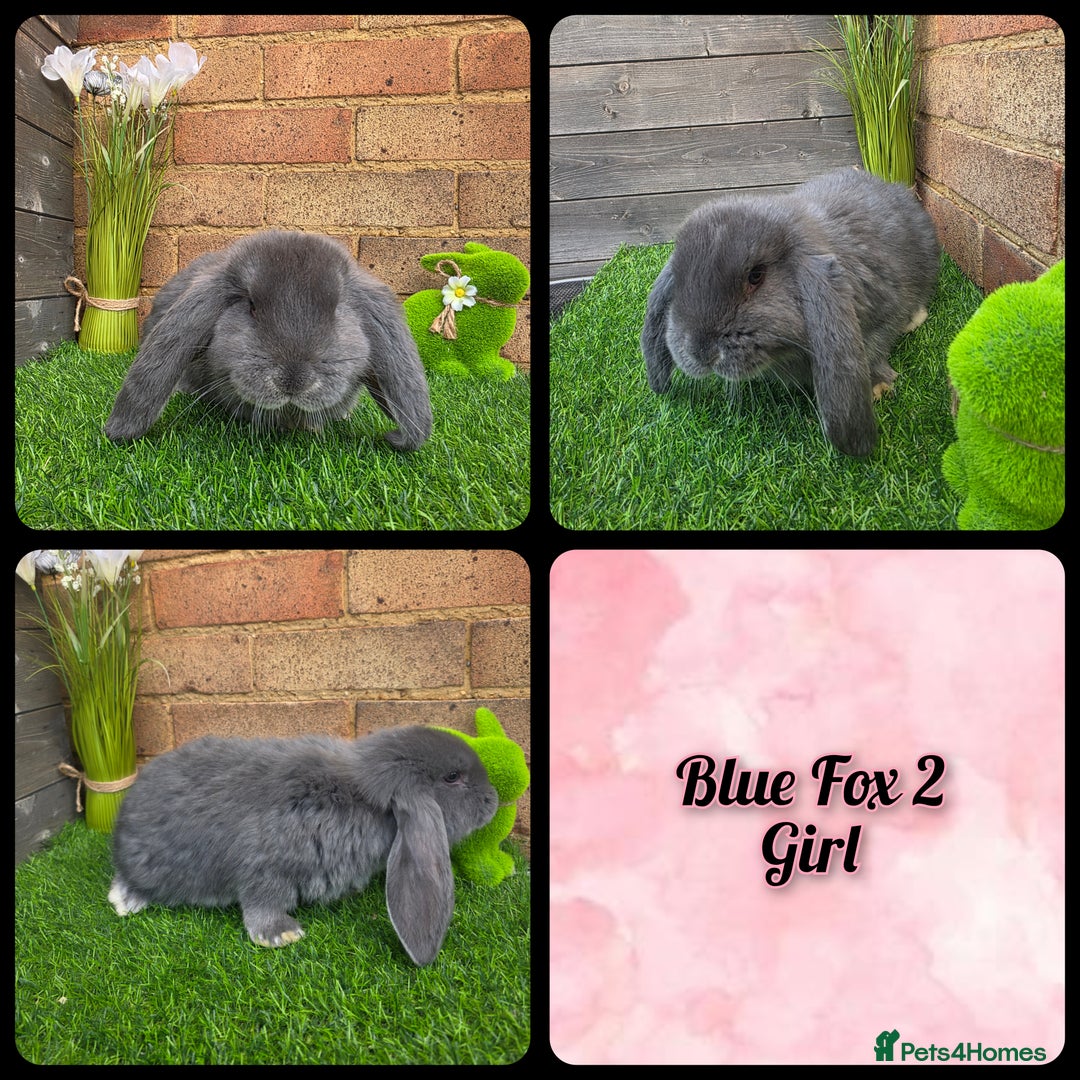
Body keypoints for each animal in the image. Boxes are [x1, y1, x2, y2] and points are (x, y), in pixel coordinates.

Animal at [108, 726, 499, 966]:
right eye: (452, 777)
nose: (493, 799)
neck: (359, 794)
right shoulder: (267, 869)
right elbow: (261, 903)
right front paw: (282, 935)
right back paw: (126, 900)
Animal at [641, 168, 941, 456]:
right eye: (679, 278)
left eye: (756, 276)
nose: (699, 352)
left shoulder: (885, 312)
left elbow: (876, 349)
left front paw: (878, 387)